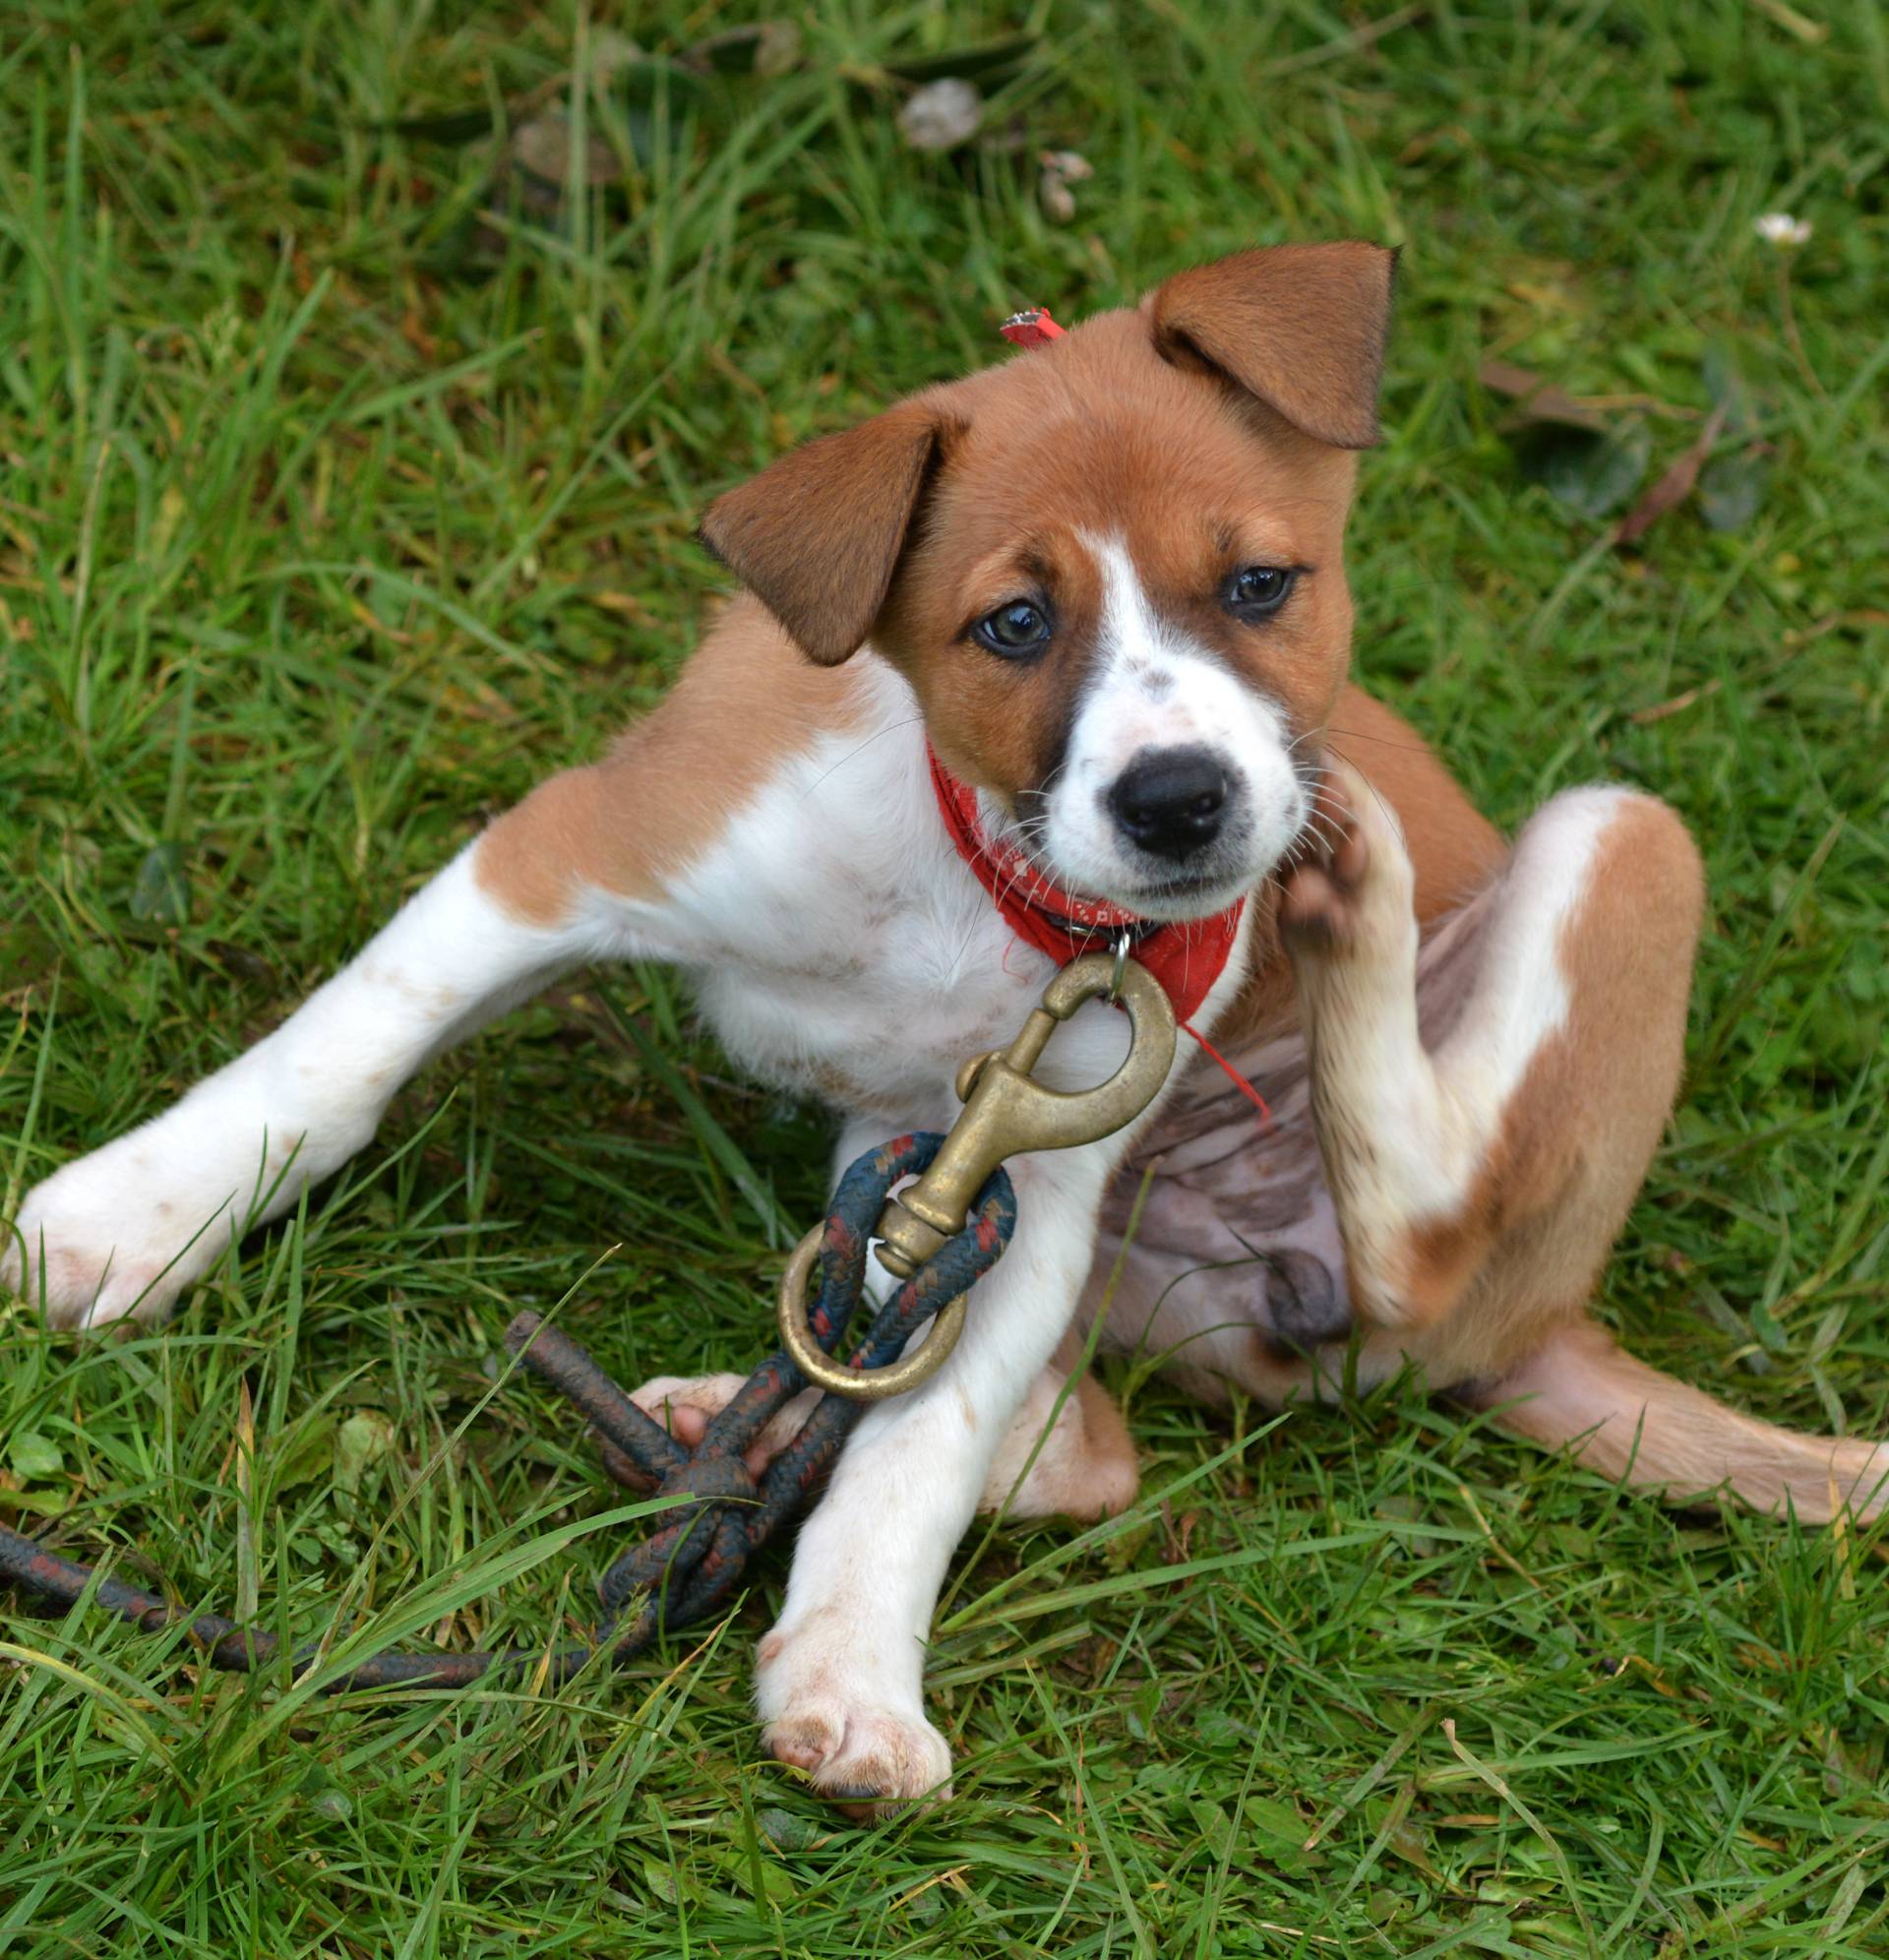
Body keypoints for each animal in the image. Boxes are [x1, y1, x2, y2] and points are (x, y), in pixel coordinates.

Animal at [7, 252, 1881, 1810]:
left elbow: (910, 1464)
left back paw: (1356, 908)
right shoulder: (574, 856)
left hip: (1628, 848)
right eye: (1015, 625)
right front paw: (127, 1221)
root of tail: (1551, 1324)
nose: (1186, 803)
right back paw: (732, 1423)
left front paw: (849, 1668)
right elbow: (336, 1058)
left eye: (1261, 583)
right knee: (1093, 1438)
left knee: (1400, 1240)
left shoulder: (1023, 1188)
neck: (974, 868)